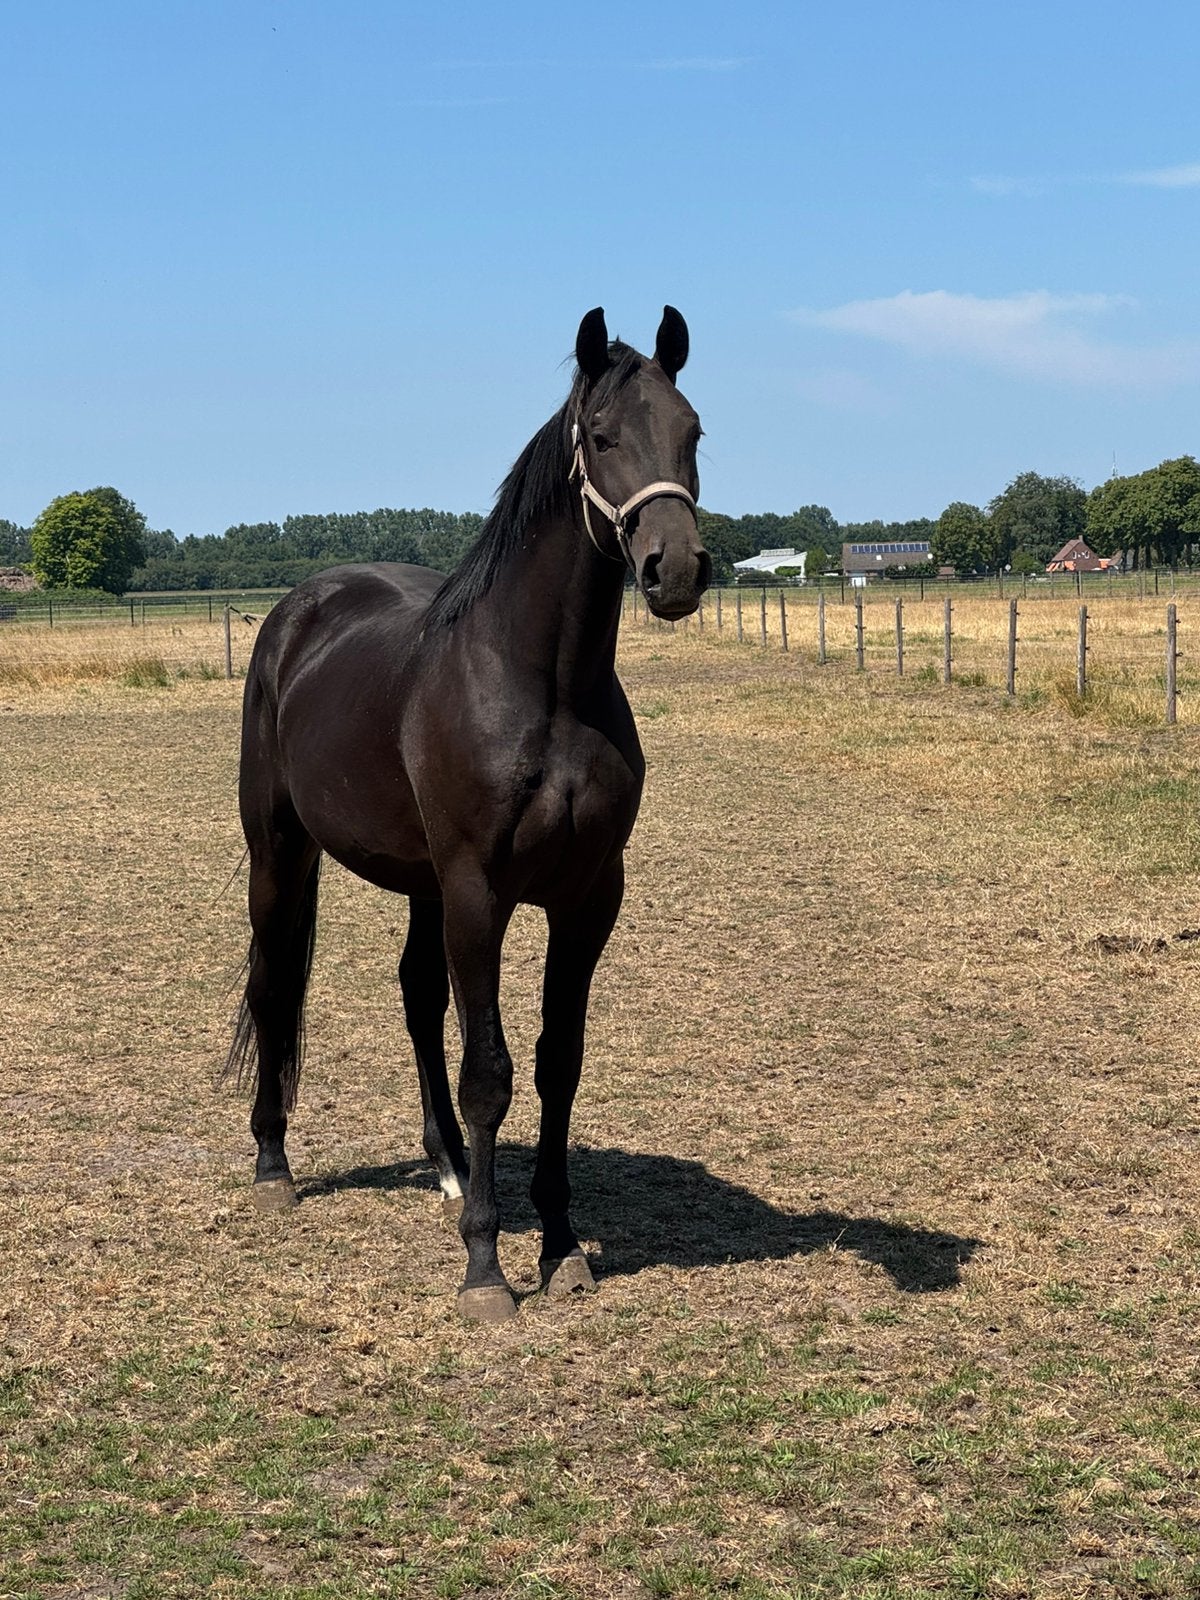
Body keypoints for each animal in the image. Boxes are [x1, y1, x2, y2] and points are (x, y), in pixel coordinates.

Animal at [226, 307, 710, 1321]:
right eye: (601, 437)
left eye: (693, 432)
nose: (676, 569)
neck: (542, 685)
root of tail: (297, 611)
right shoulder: (479, 892)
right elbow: (489, 1070)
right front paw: (486, 1267)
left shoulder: (586, 899)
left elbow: (557, 1061)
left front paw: (561, 1245)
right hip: (281, 853)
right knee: (274, 981)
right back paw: (274, 1165)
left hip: (421, 885)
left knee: (416, 997)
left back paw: (448, 1167)